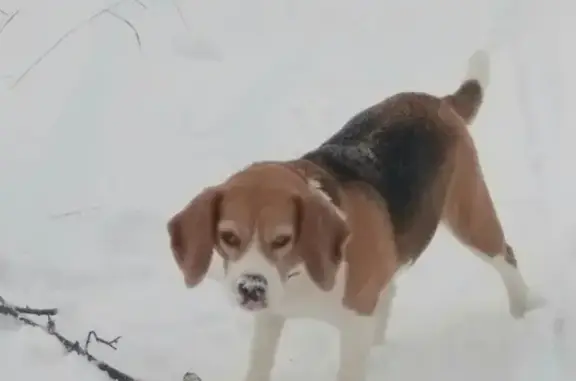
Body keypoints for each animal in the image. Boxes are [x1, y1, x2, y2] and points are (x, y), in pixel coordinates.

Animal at [166, 50, 544, 380]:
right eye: (228, 236)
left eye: (283, 238)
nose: (251, 288)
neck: (299, 276)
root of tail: (440, 102)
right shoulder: (271, 318)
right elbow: (259, 364)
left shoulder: (354, 324)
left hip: (470, 216)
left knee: (505, 256)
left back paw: (522, 313)